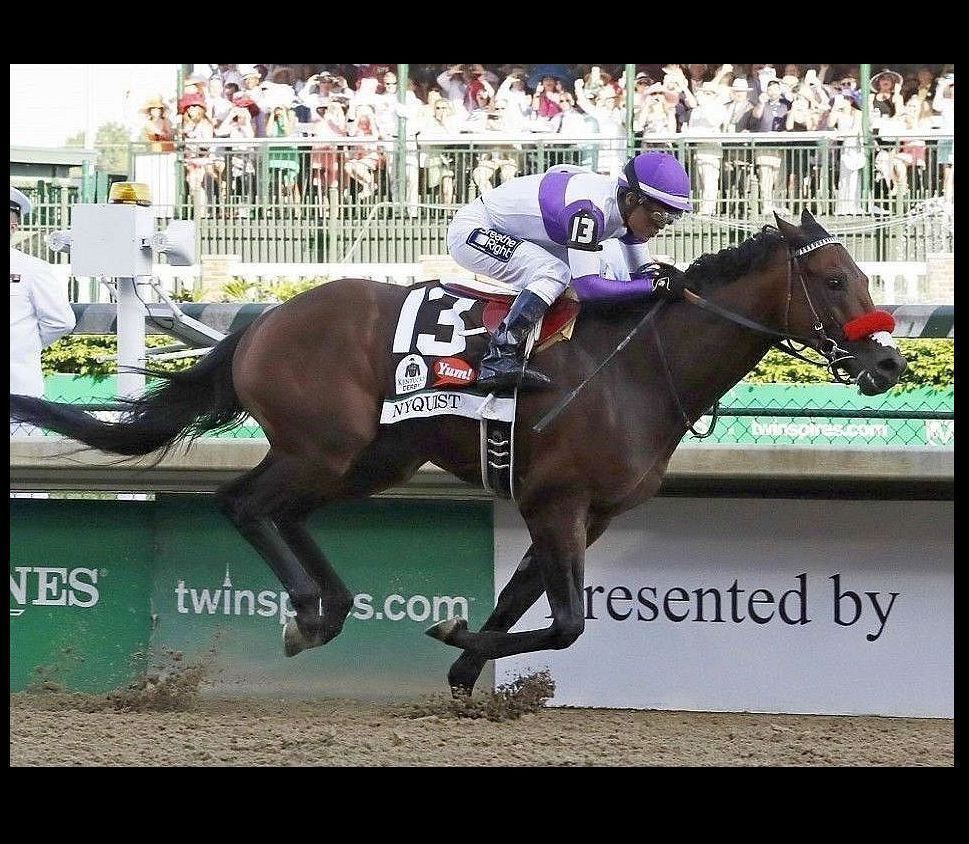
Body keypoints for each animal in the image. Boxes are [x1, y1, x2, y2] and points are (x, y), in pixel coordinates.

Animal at [10, 209, 907, 696]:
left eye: (865, 273)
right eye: (833, 281)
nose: (889, 363)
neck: (639, 367)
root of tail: (263, 322)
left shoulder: (589, 513)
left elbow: (520, 600)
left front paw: (465, 669)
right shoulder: (558, 502)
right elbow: (567, 622)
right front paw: (455, 643)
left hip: (373, 459)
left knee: (278, 511)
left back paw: (328, 608)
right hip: (325, 445)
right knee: (245, 503)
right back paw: (310, 615)